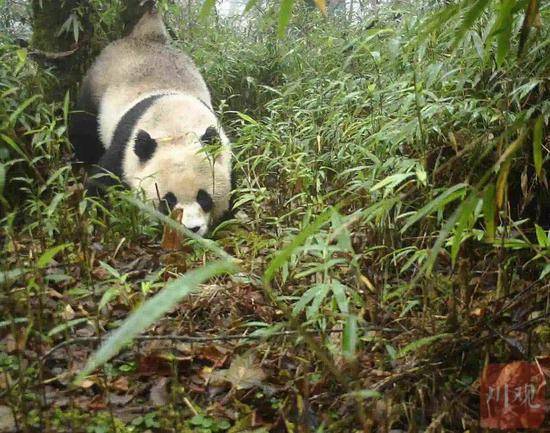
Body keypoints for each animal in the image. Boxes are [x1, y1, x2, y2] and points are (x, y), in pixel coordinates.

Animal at [70, 8, 232, 236]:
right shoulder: (125, 146)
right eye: (168, 200)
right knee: (84, 127)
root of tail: (145, 36)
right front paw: (94, 215)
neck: (176, 125)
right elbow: (103, 180)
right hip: (96, 87)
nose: (191, 229)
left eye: (204, 197)